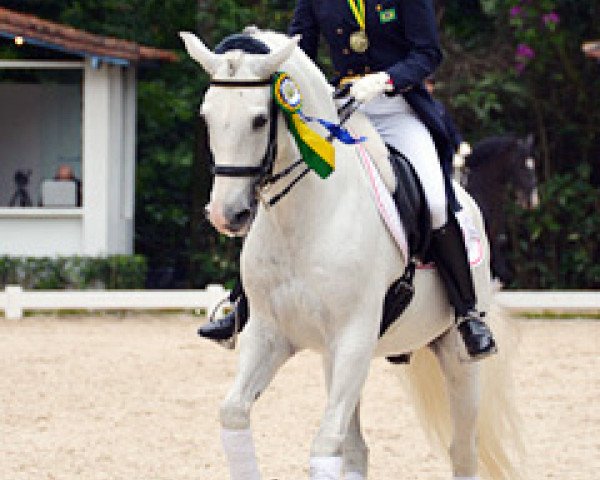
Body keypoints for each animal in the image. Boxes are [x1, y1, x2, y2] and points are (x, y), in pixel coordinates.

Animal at [180, 29, 524, 480]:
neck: (303, 220)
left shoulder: (353, 339)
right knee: (357, 449)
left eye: (259, 120)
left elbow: (325, 443)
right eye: (206, 117)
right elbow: (234, 412)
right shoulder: (270, 334)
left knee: (462, 450)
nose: (227, 214)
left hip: (456, 354)